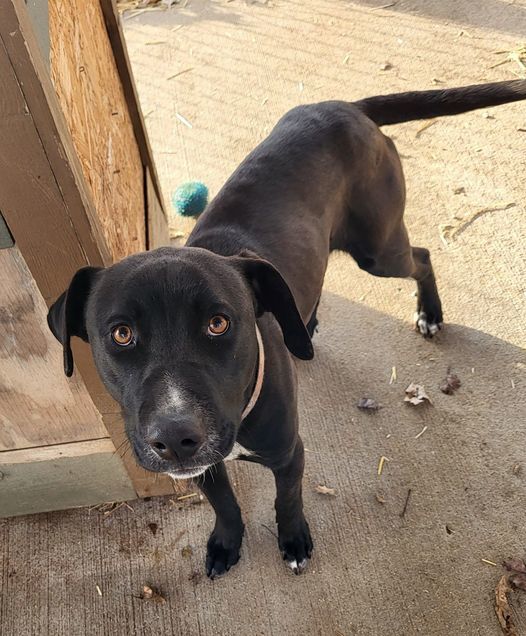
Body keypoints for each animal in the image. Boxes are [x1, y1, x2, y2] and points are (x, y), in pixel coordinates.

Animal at [48, 78, 526, 576]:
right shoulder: (205, 469)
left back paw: (430, 313)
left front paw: (294, 540)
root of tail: (345, 106)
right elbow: (225, 504)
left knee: (424, 257)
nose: (175, 439)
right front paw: (226, 543)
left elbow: (288, 500)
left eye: (218, 323)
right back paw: (306, 331)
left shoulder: (289, 454)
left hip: (378, 249)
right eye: (121, 334)